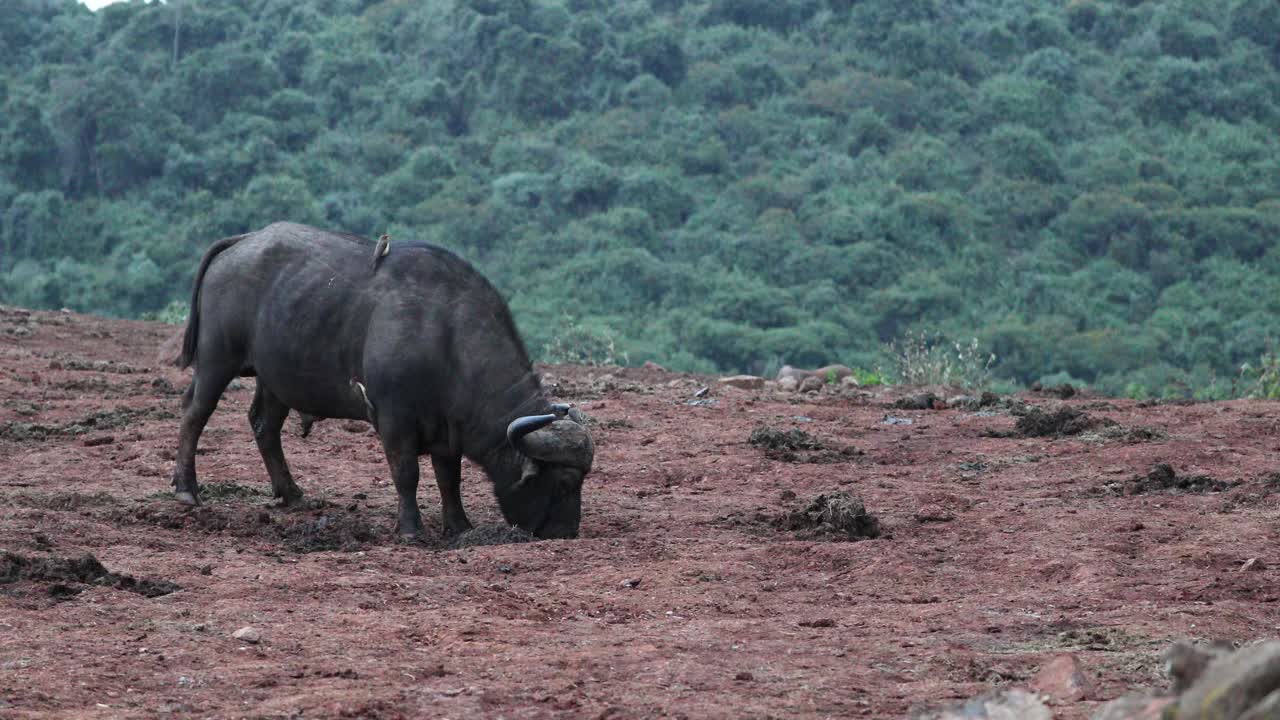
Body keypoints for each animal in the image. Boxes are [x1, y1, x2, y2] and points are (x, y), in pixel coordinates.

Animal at [169, 222, 593, 540]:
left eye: (582, 480)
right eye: (564, 483)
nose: (566, 532)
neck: (445, 335)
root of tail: (243, 240)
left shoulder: (447, 429)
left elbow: (449, 477)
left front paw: (458, 525)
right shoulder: (393, 418)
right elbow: (407, 473)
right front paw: (411, 529)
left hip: (275, 379)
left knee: (264, 425)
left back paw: (291, 494)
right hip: (216, 361)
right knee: (195, 413)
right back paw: (187, 489)